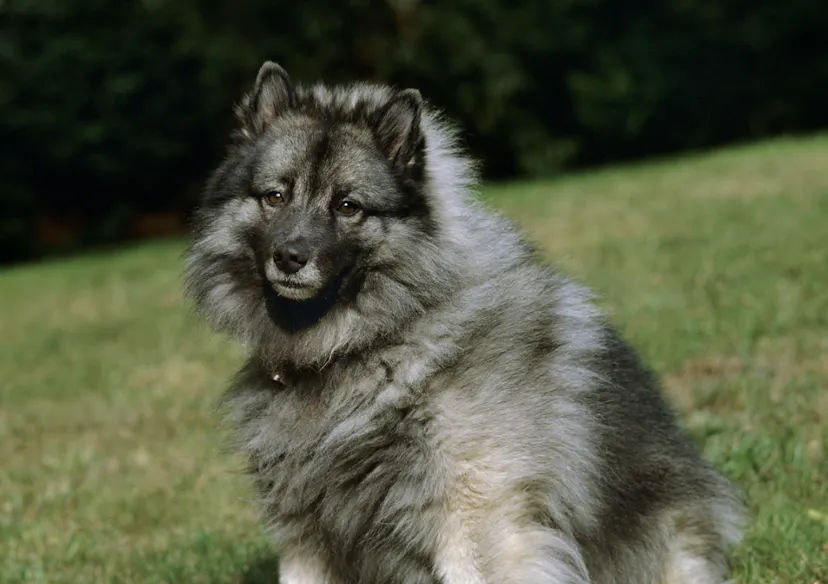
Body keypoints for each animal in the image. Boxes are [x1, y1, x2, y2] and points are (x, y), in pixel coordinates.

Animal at [184, 61, 745, 584]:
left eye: (347, 206)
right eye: (274, 196)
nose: (289, 257)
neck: (375, 343)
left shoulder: (472, 517)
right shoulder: (305, 530)